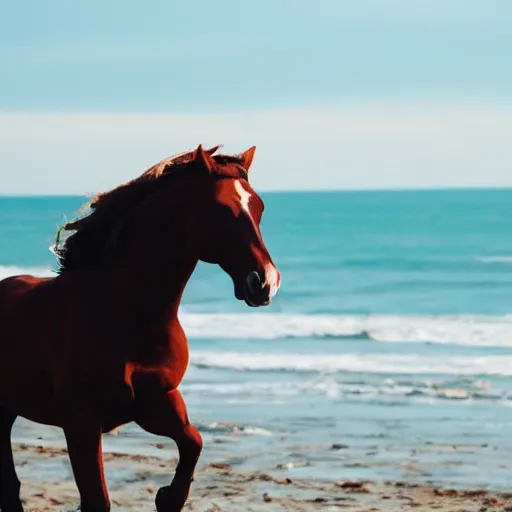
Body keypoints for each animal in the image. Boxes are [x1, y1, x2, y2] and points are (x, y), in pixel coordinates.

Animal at [0, 145, 280, 512]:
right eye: (221, 209)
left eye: (259, 207)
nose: (265, 283)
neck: (126, 316)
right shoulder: (81, 422)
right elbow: (97, 500)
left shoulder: (156, 402)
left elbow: (194, 442)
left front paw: (168, 497)